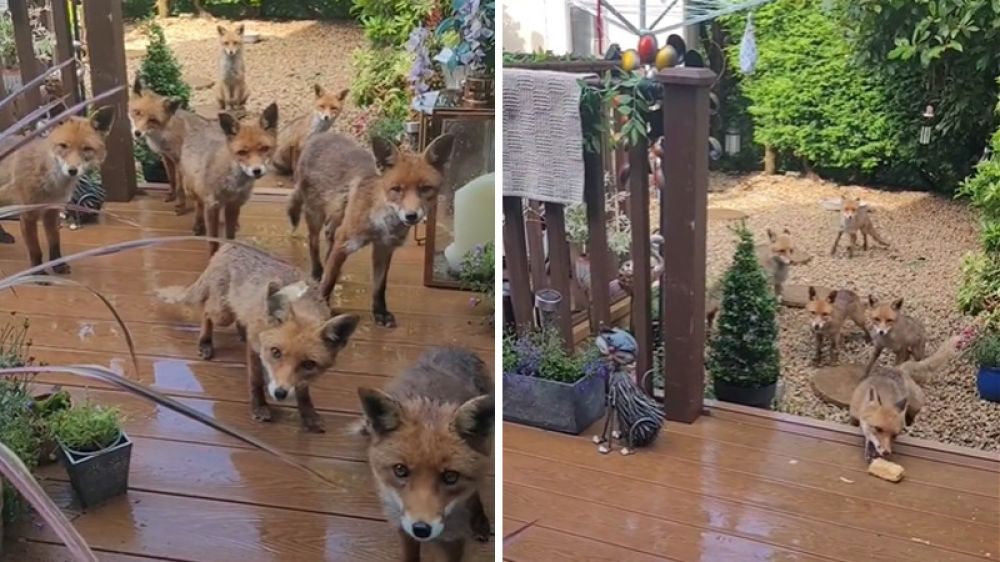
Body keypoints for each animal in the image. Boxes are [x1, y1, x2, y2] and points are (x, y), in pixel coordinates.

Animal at [0, 106, 114, 272]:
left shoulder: (52, 211)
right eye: (63, 146)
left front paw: (58, 265)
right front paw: (38, 273)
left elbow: (54, 243)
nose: (72, 170)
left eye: (87, 149)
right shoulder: (28, 215)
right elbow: (35, 250)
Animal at [129, 76, 211, 212]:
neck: (163, 135)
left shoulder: (179, 161)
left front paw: (181, 206)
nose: (137, 133)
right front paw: (171, 196)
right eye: (137, 112)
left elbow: (179, 187)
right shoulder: (166, 157)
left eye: (153, 120)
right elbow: (171, 180)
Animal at [156, 243, 360, 430]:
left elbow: (303, 390)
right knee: (206, 311)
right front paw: (259, 407)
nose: (280, 393)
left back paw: (238, 331)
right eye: (276, 352)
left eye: (308, 364)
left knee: (236, 317)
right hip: (222, 314)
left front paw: (308, 414)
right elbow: (256, 381)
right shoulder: (256, 348)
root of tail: (228, 245)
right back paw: (205, 342)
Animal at [288, 132, 456, 328]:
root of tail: (320, 135)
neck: (380, 223)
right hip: (315, 214)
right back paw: (317, 271)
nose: (411, 216)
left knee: (329, 236)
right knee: (313, 242)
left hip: (337, 215)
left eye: (425, 189)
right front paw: (320, 308)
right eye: (396, 189)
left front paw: (380, 313)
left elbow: (379, 287)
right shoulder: (345, 241)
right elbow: (328, 282)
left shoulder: (384, 248)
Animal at [356, 346, 492, 560]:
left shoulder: (455, 539)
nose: (421, 529)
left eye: (451, 476)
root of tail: (451, 348)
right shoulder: (403, 527)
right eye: (400, 470)